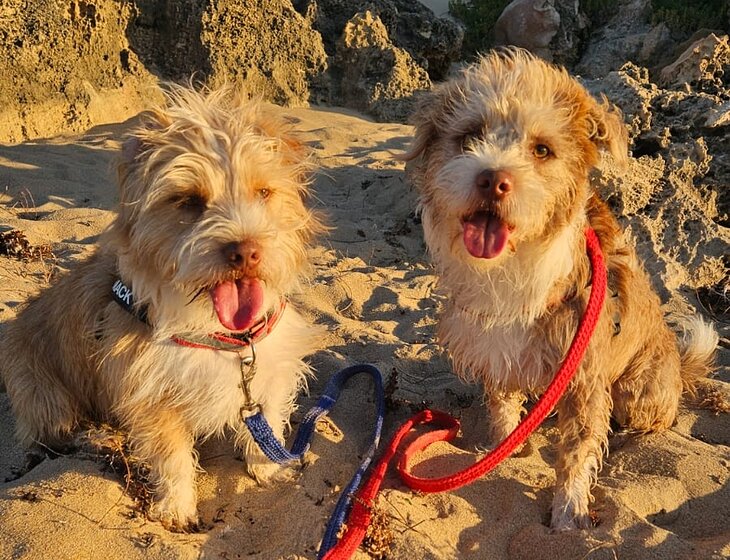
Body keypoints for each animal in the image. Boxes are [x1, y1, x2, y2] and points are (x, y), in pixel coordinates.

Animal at [0, 85, 325, 531]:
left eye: (263, 192)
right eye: (189, 201)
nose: (245, 251)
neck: (217, 332)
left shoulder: (271, 366)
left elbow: (269, 419)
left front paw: (267, 468)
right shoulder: (151, 397)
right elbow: (172, 458)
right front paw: (176, 509)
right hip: (40, 388)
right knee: (52, 430)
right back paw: (94, 436)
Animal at [404, 49, 718, 530]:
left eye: (542, 150)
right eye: (470, 135)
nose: (493, 179)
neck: (515, 267)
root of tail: (680, 369)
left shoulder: (585, 377)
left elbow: (577, 451)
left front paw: (569, 517)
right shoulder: (495, 351)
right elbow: (503, 409)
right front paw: (506, 447)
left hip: (638, 390)